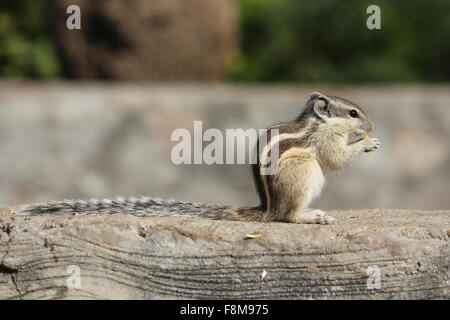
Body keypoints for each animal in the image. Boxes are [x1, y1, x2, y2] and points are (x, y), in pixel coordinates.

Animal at [14, 91, 380, 224]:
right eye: (352, 113)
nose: (373, 125)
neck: (317, 122)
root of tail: (267, 208)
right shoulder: (322, 141)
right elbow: (335, 158)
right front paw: (366, 143)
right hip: (304, 174)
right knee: (287, 217)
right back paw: (310, 216)